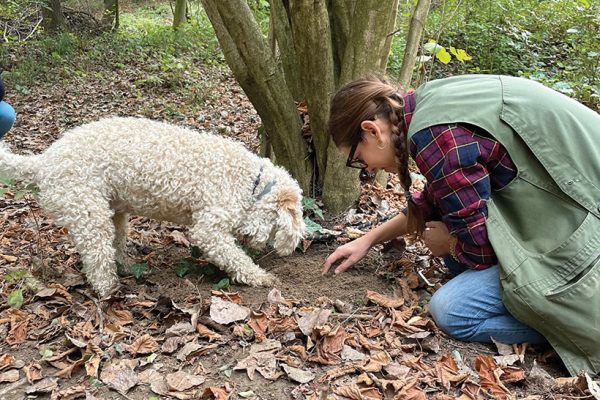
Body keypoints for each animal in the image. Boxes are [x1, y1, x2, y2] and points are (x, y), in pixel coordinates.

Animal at [0, 115, 308, 296]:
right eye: (276, 231)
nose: (262, 248)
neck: (251, 182)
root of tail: (44, 162)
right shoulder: (209, 230)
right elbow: (235, 258)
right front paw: (260, 276)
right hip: (88, 211)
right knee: (97, 256)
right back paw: (108, 288)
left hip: (115, 211)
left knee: (116, 243)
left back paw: (127, 266)